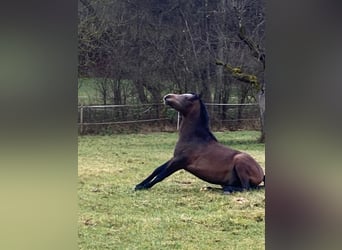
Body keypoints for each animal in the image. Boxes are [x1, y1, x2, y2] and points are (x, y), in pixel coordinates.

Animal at [134, 92, 264, 193]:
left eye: (187, 97)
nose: (167, 97)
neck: (194, 139)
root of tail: (262, 174)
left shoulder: (179, 162)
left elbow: (161, 175)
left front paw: (143, 187)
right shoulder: (174, 158)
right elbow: (157, 170)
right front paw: (139, 184)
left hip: (240, 161)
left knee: (246, 188)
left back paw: (226, 190)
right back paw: (210, 188)